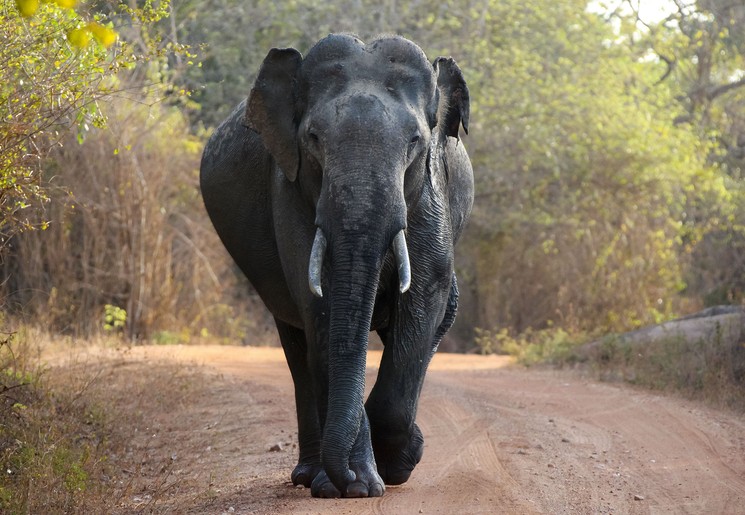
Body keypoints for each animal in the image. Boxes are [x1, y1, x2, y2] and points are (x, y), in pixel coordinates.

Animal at [199, 33, 470, 500]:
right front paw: (357, 485)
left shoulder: (431, 194)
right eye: (312, 137)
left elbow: (424, 299)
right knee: (298, 348)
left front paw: (395, 466)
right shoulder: (289, 187)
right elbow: (321, 306)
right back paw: (311, 476)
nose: (348, 476)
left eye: (415, 140)